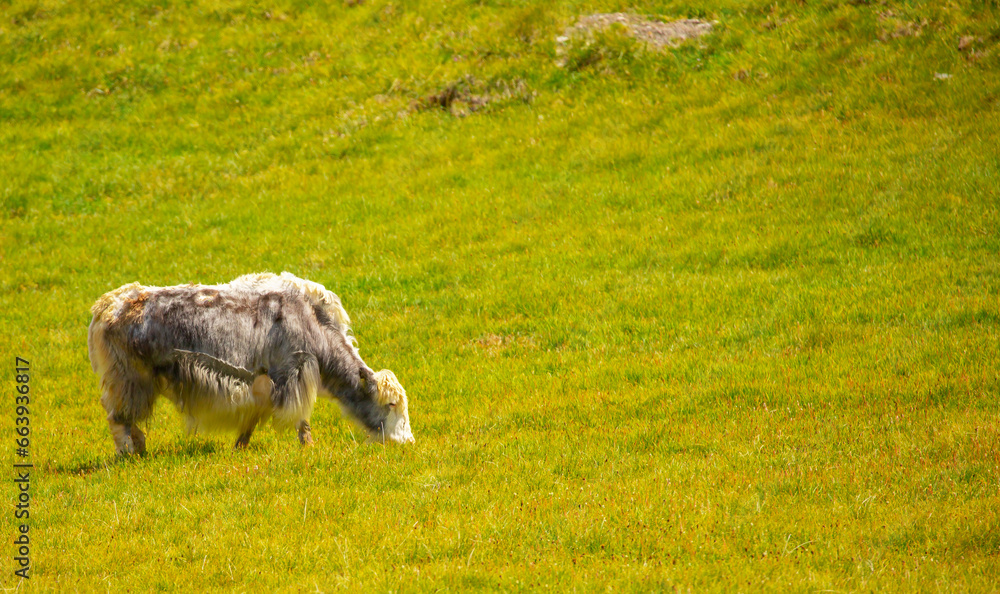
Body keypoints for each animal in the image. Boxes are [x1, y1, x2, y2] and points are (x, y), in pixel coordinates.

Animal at [87, 272, 414, 455]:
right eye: (391, 405)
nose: (407, 442)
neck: (312, 320)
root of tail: (106, 306)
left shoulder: (265, 381)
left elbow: (254, 415)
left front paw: (240, 446)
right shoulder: (292, 371)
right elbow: (301, 417)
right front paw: (309, 448)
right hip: (129, 378)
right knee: (118, 418)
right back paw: (129, 454)